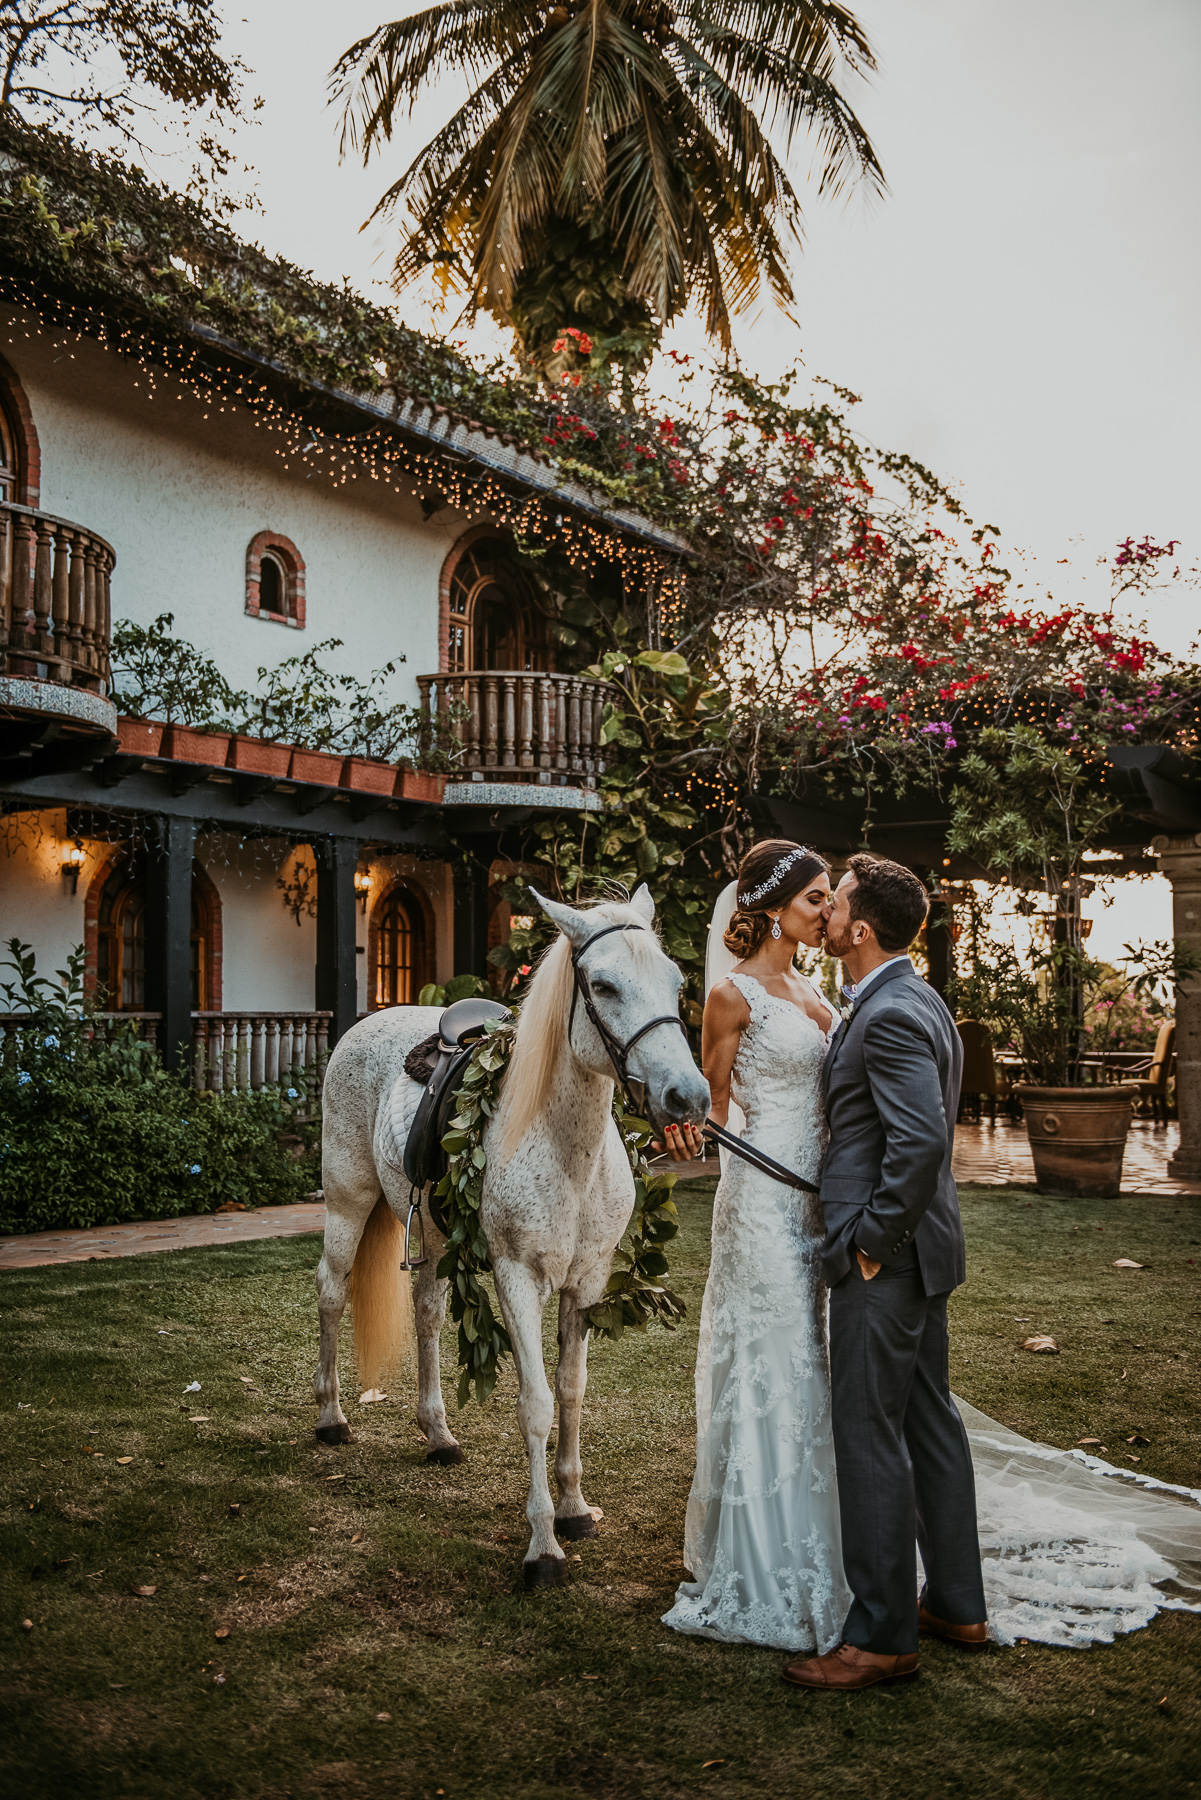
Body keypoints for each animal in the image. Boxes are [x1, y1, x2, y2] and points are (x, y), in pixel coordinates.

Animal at [313, 885, 713, 1591]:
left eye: (676, 981)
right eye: (603, 985)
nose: (686, 1096)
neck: (564, 1149)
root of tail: (368, 1023)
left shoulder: (586, 1283)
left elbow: (572, 1392)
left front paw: (575, 1508)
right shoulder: (517, 1279)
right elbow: (536, 1403)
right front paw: (543, 1545)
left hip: (432, 1237)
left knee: (426, 1313)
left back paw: (438, 1434)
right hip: (348, 1205)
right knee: (331, 1293)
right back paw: (331, 1417)